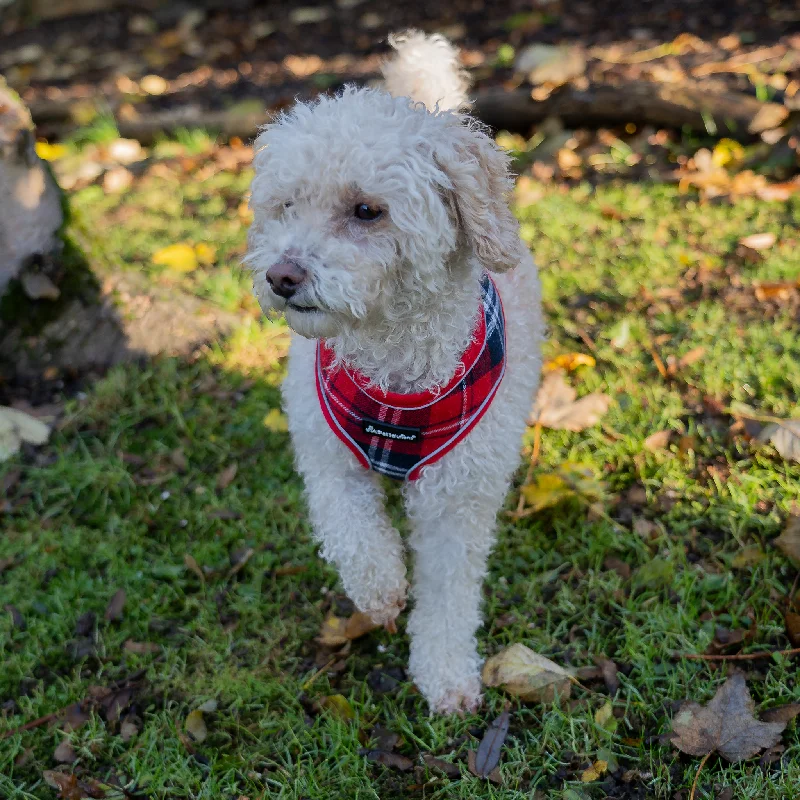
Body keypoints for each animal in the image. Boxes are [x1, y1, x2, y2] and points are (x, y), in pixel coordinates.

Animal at [245, 31, 544, 712]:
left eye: (366, 210)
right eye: (287, 204)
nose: (282, 276)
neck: (394, 374)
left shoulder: (458, 497)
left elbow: (450, 594)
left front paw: (446, 675)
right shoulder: (325, 452)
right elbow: (352, 530)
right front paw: (380, 589)